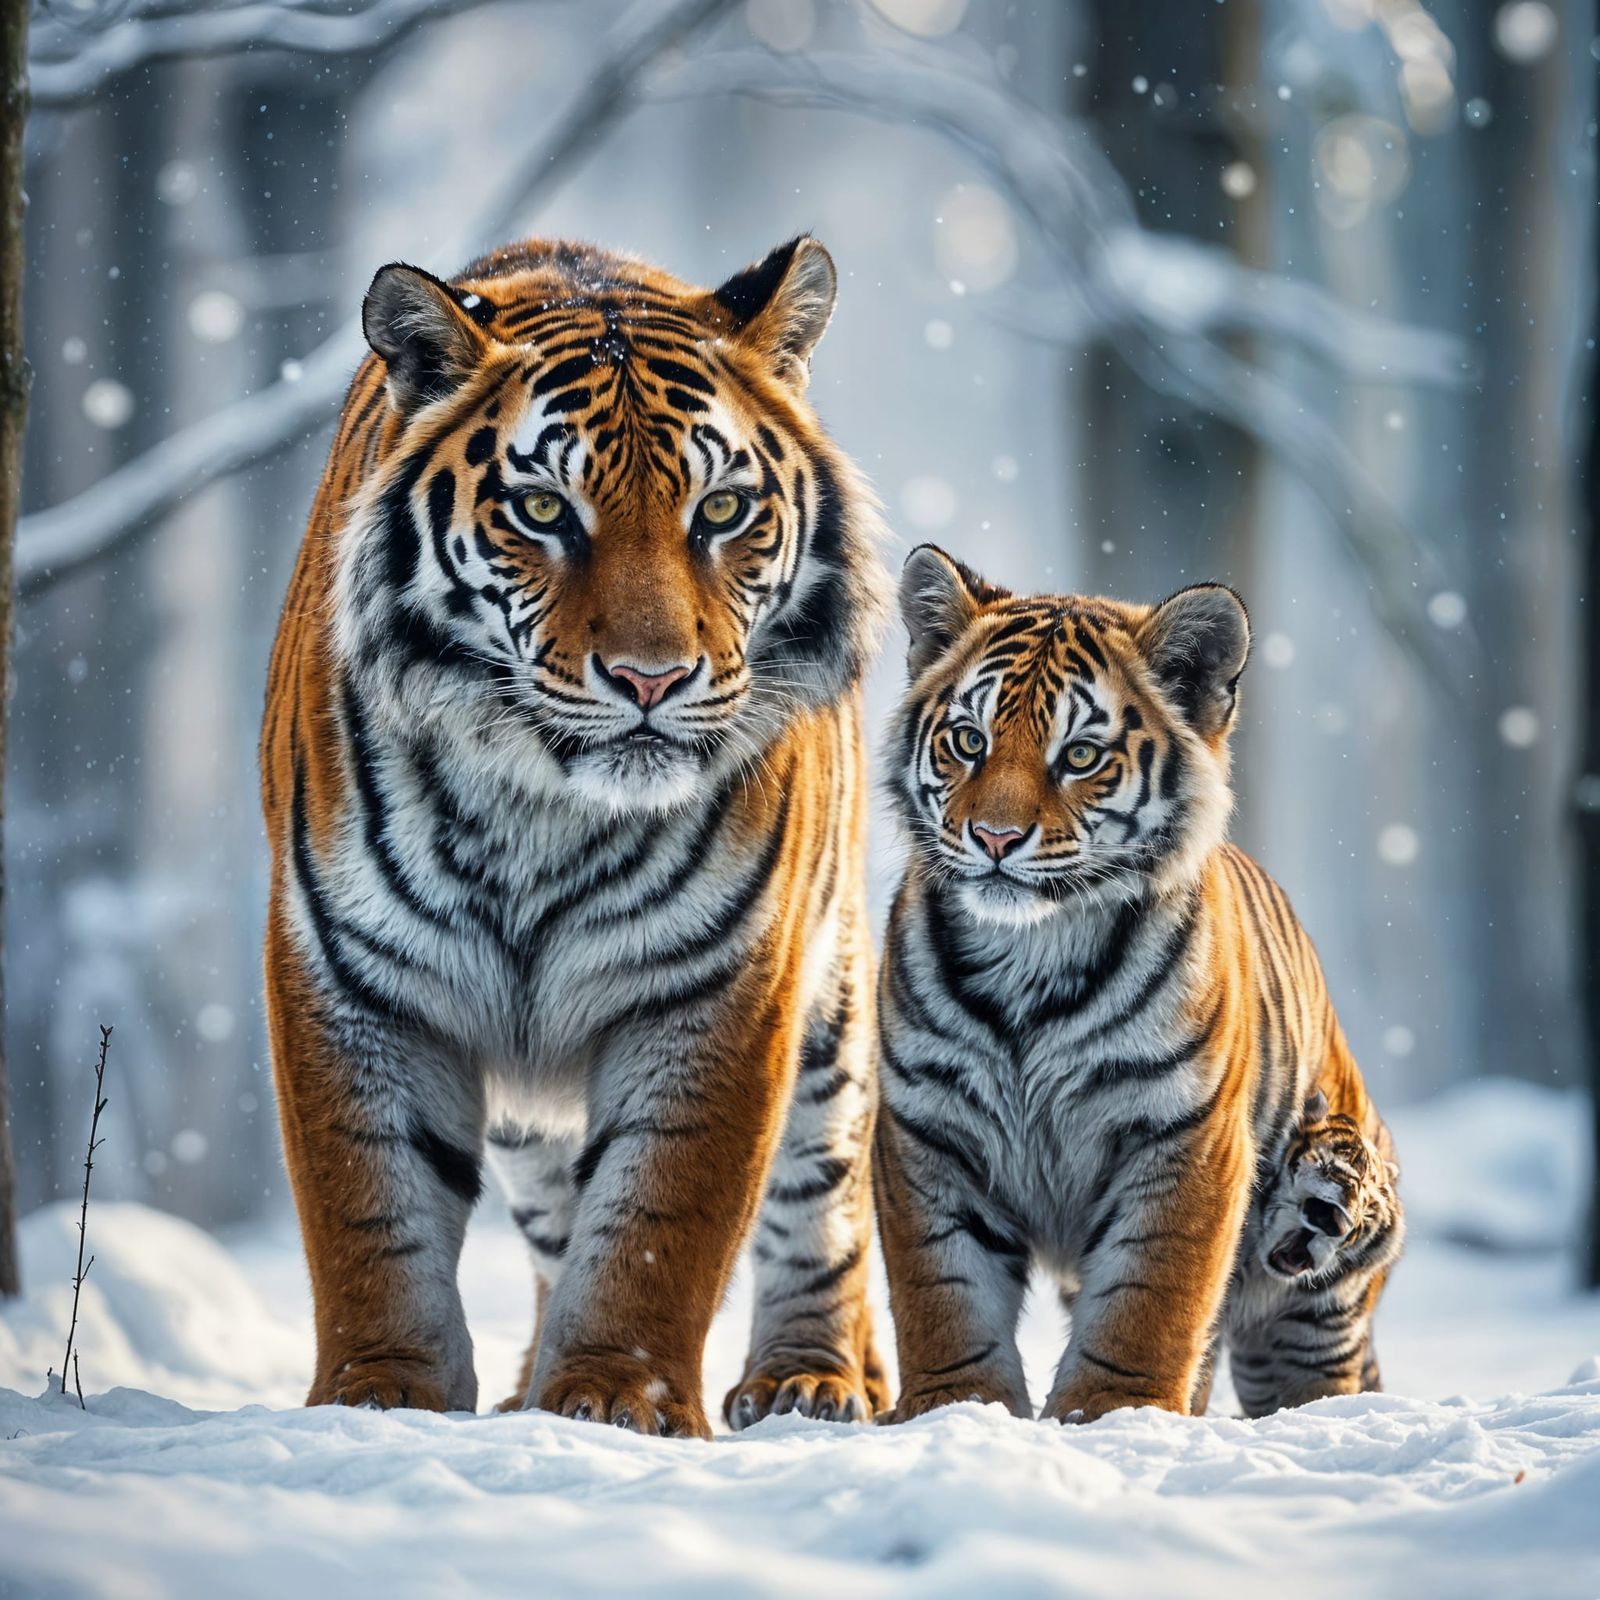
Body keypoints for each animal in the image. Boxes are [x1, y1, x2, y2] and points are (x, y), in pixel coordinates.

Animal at [259, 234, 892, 1437]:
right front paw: (381, 1395)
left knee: (822, 1195)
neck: (540, 808)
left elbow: (659, 1219)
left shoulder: (723, 980)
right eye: (544, 512)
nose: (651, 679)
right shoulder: (348, 970)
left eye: (723, 509)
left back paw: (817, 1381)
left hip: (830, 1008)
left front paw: (612, 1398)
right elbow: (368, 1208)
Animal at [874, 545, 1403, 1423]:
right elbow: (943, 1291)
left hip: (1321, 1286)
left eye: (1080, 756)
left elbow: (1149, 1296)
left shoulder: (1182, 1131)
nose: (992, 837)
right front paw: (956, 1409)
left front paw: (1110, 1413)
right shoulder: (929, 1126)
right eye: (968, 741)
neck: (1031, 952)